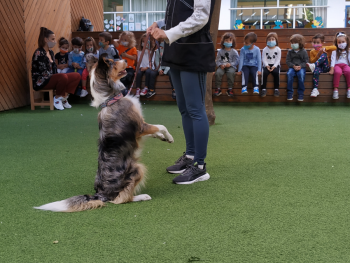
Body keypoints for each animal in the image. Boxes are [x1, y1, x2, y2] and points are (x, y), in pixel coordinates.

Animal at [34, 53, 174, 212]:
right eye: (112, 62)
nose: (125, 59)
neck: (110, 99)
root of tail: (101, 194)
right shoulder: (140, 127)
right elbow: (161, 126)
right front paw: (170, 137)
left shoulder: (139, 129)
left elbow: (155, 131)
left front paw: (164, 138)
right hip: (138, 168)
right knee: (121, 199)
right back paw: (142, 196)